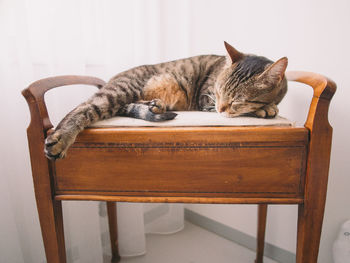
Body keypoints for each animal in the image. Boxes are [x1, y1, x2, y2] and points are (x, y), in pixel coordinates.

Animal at [44, 42, 288, 160]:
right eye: (218, 91)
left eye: (237, 99)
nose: (221, 107)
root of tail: (110, 80)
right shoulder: (206, 100)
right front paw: (265, 109)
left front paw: (269, 107)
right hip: (122, 89)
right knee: (83, 108)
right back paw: (60, 139)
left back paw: (155, 105)